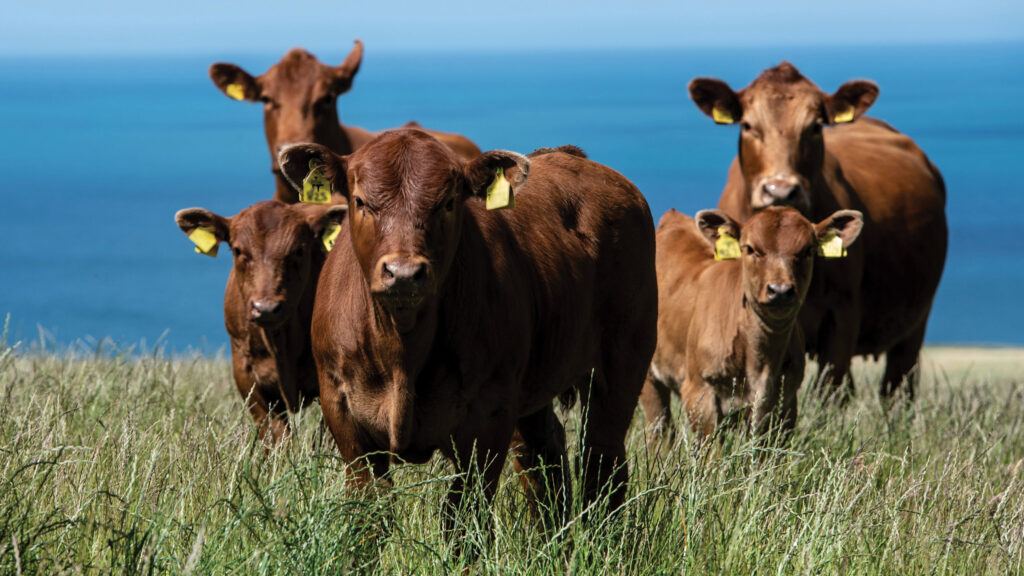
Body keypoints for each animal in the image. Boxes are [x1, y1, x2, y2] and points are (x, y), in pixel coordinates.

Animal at [276, 129, 657, 528]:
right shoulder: (344, 415)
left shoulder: (487, 421)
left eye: (447, 203)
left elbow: (462, 519)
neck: (402, 352)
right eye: (360, 201)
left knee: (603, 460)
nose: (403, 273)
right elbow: (371, 513)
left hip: (623, 362)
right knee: (543, 455)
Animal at [641, 206, 863, 443]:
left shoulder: (787, 402)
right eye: (750, 248)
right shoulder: (699, 392)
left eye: (807, 250)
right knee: (660, 430)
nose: (780, 290)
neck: (761, 360)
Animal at [687, 62, 947, 400]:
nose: (780, 190)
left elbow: (830, 391)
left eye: (814, 127)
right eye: (747, 125)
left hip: (915, 322)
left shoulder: (842, 317)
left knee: (897, 384)